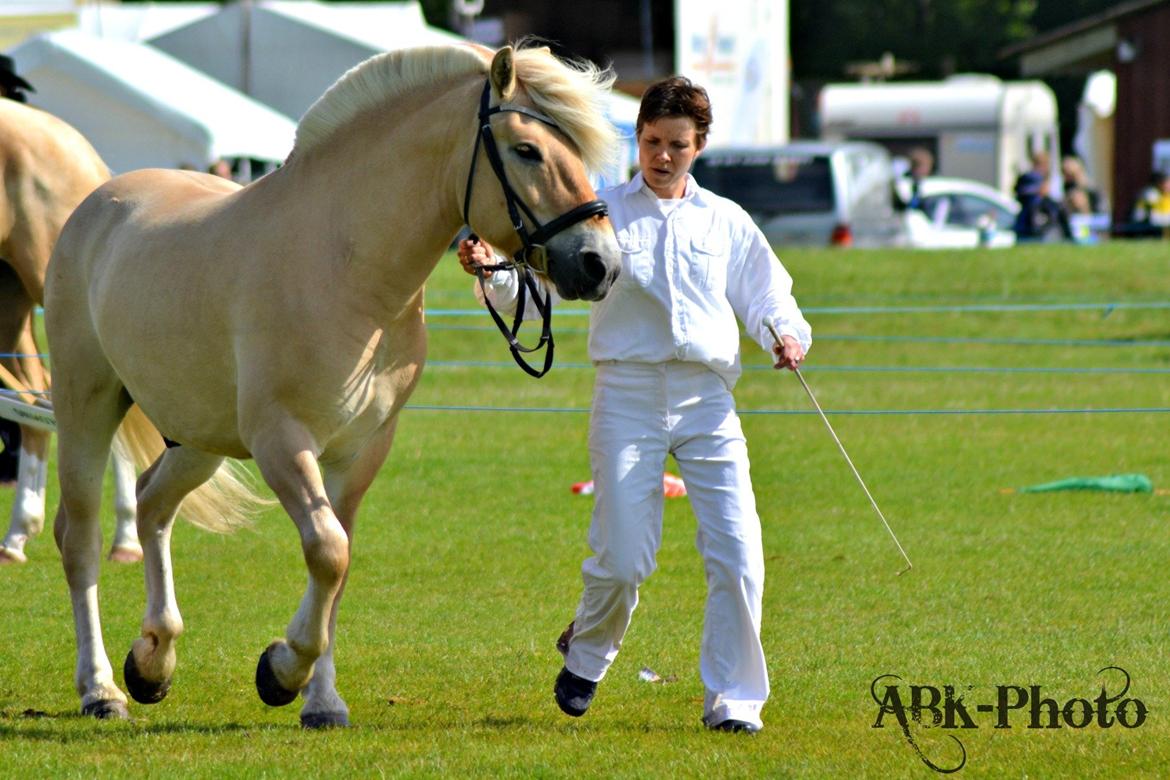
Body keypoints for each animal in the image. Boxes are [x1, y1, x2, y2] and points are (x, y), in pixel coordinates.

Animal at [47, 42, 622, 725]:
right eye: (528, 149)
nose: (601, 264)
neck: (344, 267)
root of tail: (101, 200)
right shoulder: (281, 442)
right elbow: (327, 550)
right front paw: (280, 672)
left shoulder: (362, 449)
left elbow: (339, 564)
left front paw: (320, 701)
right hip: (86, 406)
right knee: (80, 539)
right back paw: (101, 688)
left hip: (197, 437)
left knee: (153, 505)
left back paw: (153, 661)